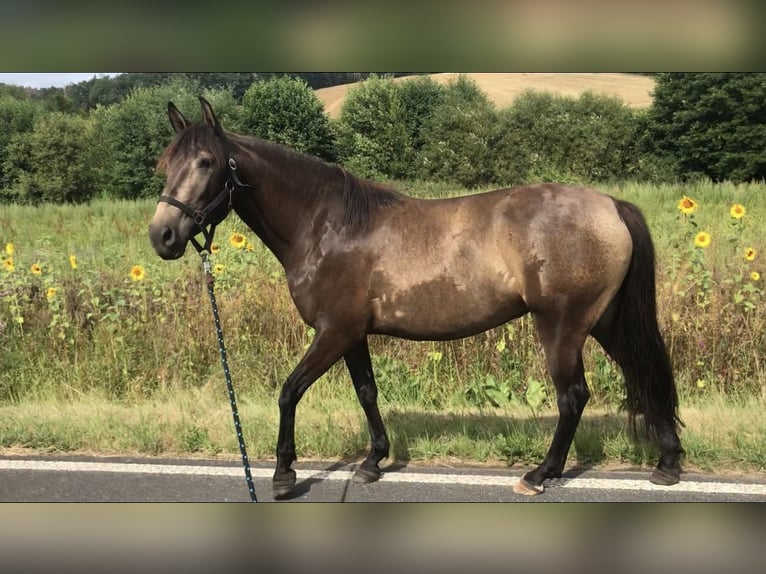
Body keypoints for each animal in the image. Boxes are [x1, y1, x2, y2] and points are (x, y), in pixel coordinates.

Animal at [150, 97, 684, 498]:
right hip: (604, 320)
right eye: (165, 163)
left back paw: (539, 474)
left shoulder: (333, 332)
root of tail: (610, 205)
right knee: (643, 373)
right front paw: (372, 461)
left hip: (562, 325)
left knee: (573, 396)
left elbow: (289, 391)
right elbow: (366, 391)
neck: (325, 226)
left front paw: (284, 474)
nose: (163, 236)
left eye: (206, 162)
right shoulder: (352, 334)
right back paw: (668, 460)